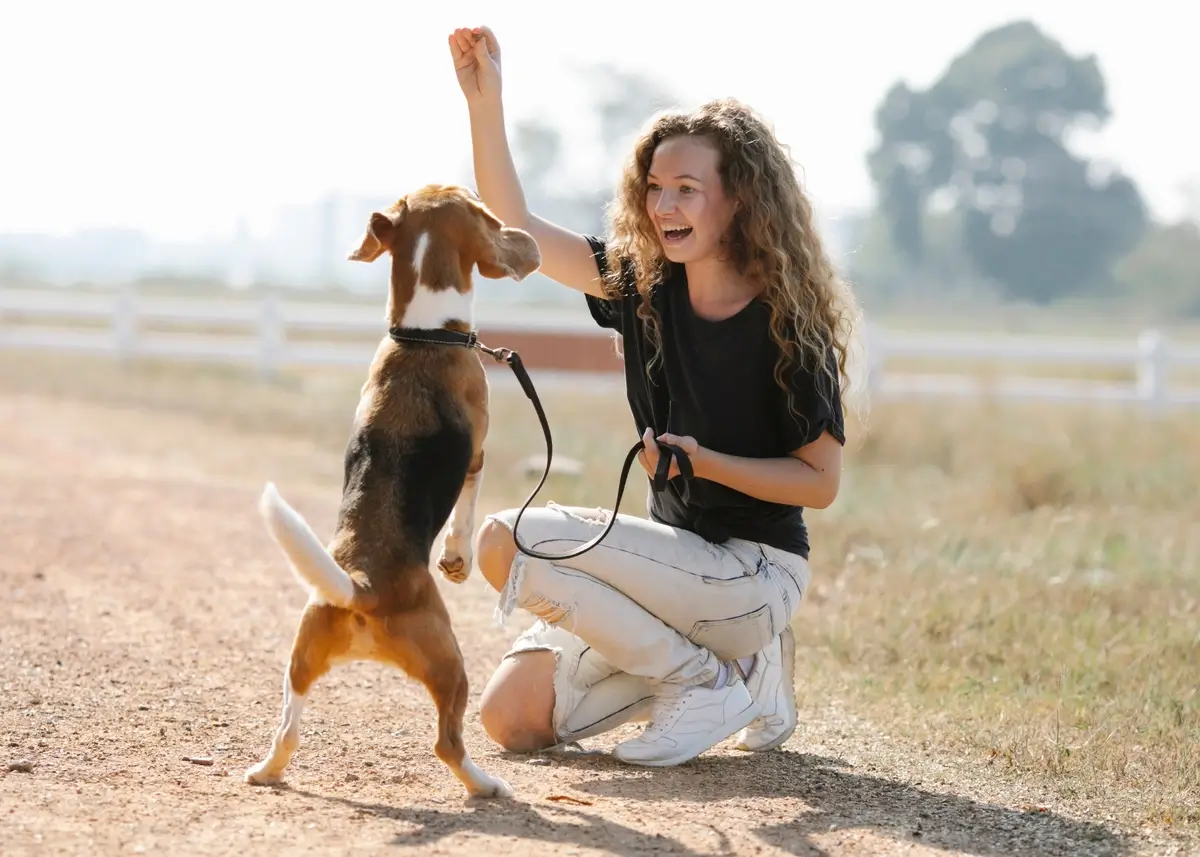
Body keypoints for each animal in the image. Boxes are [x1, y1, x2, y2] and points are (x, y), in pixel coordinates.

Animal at [242, 183, 540, 796]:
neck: (422, 335)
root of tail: (362, 586)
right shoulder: (477, 454)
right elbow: (466, 512)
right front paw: (456, 559)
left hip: (299, 659)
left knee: (287, 731)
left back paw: (265, 771)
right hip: (451, 665)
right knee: (447, 743)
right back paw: (486, 785)